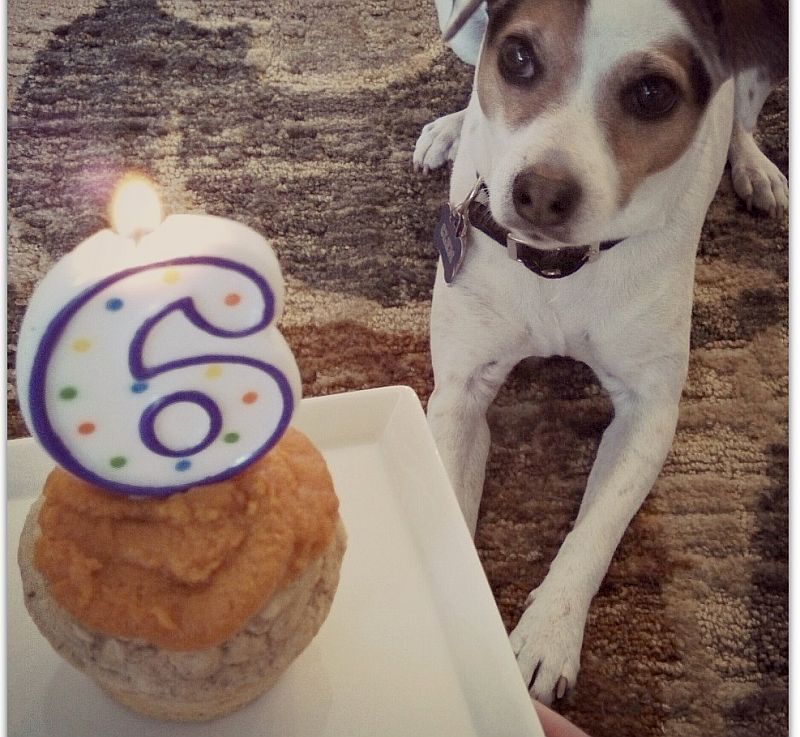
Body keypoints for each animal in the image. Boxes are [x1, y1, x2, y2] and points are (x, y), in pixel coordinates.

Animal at [418, 0, 788, 704]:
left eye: (651, 93)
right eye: (517, 57)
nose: (538, 191)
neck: (557, 272)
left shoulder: (649, 411)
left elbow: (596, 531)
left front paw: (546, 637)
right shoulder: (461, 391)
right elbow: (445, 495)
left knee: (742, 119)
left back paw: (756, 167)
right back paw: (450, 130)